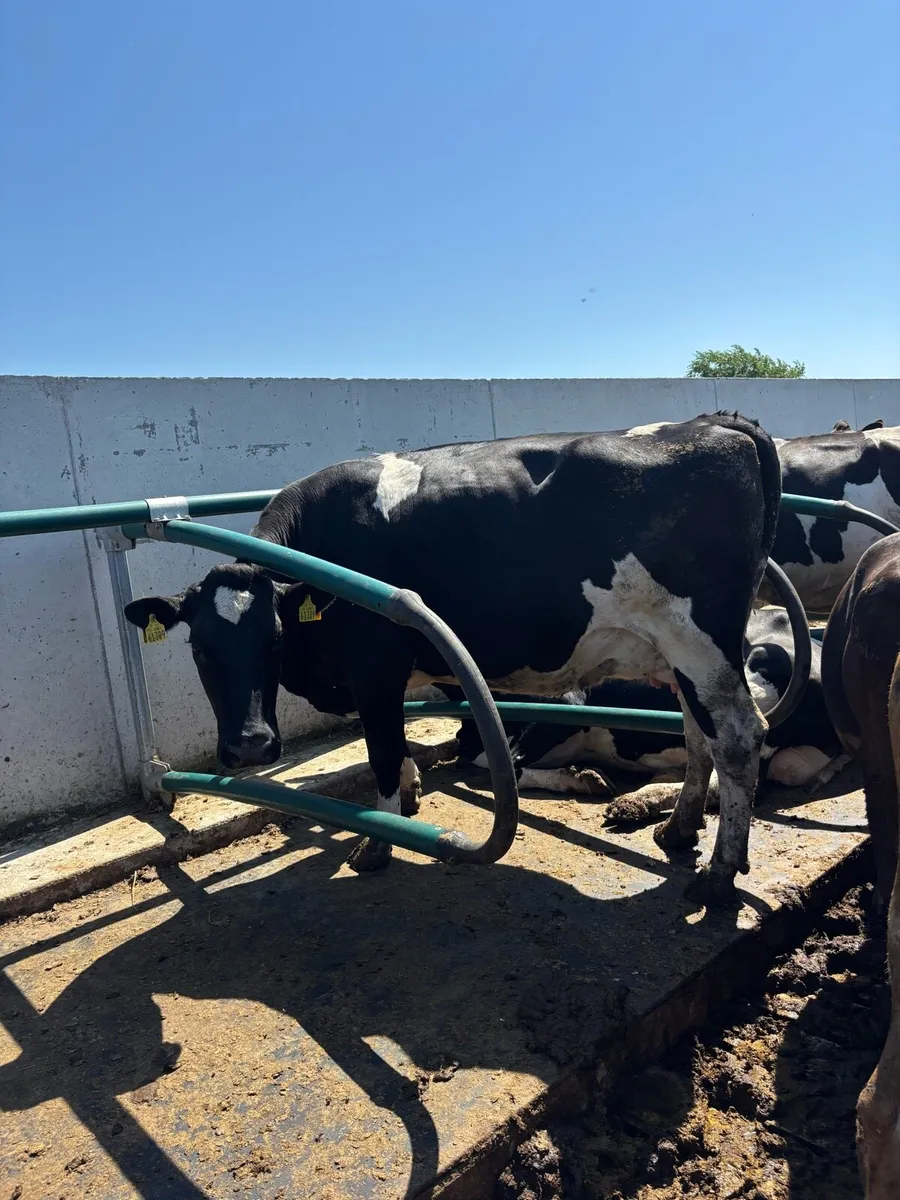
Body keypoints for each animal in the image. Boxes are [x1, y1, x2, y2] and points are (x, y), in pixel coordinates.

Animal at [124, 412, 793, 905]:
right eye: (199, 648)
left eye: (273, 640)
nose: (250, 748)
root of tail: (713, 424)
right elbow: (399, 745)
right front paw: (411, 796)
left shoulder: (374, 669)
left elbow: (382, 749)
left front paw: (379, 842)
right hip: (679, 655)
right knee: (699, 733)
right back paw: (679, 829)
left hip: (697, 639)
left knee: (737, 736)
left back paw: (719, 874)